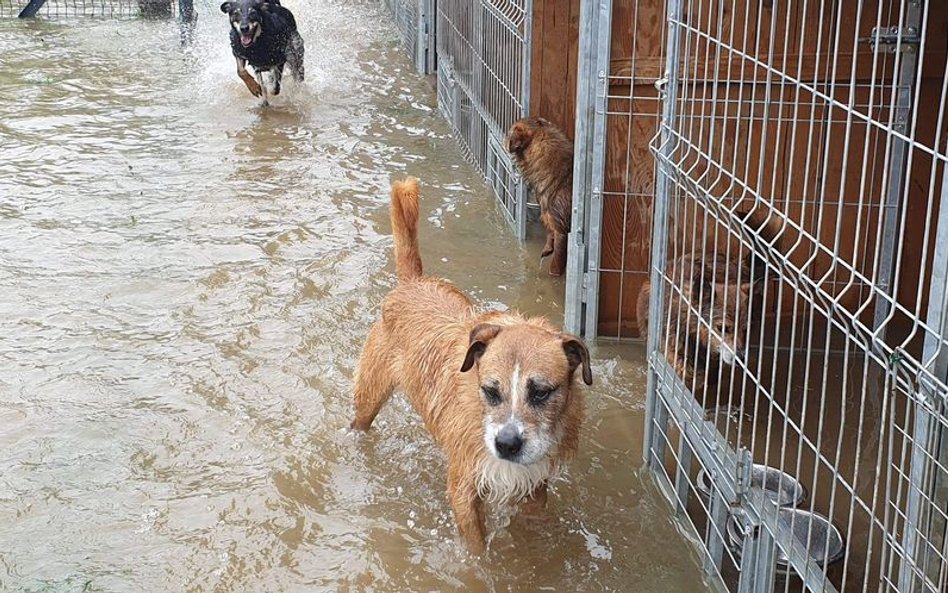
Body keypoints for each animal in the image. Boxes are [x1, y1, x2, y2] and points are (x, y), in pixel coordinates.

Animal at [352, 178, 592, 552]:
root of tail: (411, 283)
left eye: (541, 392)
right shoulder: (464, 488)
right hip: (369, 396)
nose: (506, 444)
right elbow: (477, 552)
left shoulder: (535, 485)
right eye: (490, 391)